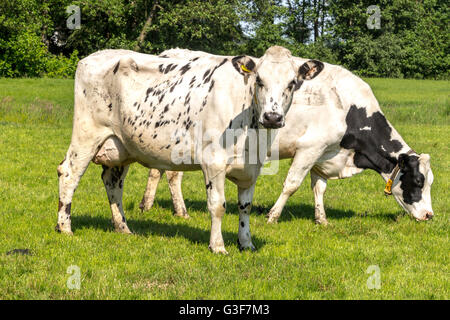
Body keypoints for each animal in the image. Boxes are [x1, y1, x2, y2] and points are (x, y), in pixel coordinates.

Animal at [56, 46, 326, 254]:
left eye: (293, 83)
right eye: (259, 80)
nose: (272, 117)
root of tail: (94, 56)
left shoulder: (252, 168)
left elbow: (245, 207)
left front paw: (246, 243)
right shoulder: (213, 162)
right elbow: (218, 205)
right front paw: (217, 246)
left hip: (122, 146)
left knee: (112, 182)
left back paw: (123, 228)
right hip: (87, 133)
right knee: (68, 173)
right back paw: (64, 228)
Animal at [140, 50, 432, 225]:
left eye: (429, 182)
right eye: (417, 181)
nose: (429, 215)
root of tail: (172, 53)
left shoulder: (323, 153)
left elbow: (319, 187)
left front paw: (322, 219)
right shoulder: (309, 148)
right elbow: (291, 184)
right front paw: (272, 216)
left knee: (156, 171)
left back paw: (147, 205)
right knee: (172, 175)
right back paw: (181, 211)